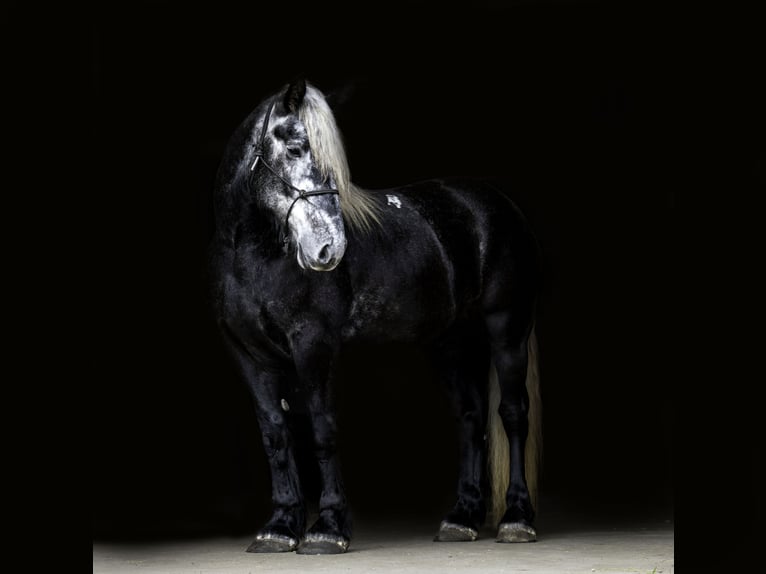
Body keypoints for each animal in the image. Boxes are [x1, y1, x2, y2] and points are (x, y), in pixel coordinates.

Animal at [210, 79, 544, 556]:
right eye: (294, 147)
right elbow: (275, 434)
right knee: (470, 418)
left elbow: (322, 430)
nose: (329, 249)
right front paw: (279, 527)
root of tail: (498, 204)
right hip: (450, 342)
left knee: (513, 414)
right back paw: (460, 519)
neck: (252, 257)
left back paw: (516, 518)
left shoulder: (313, 345)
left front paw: (328, 528)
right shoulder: (249, 355)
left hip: (507, 328)